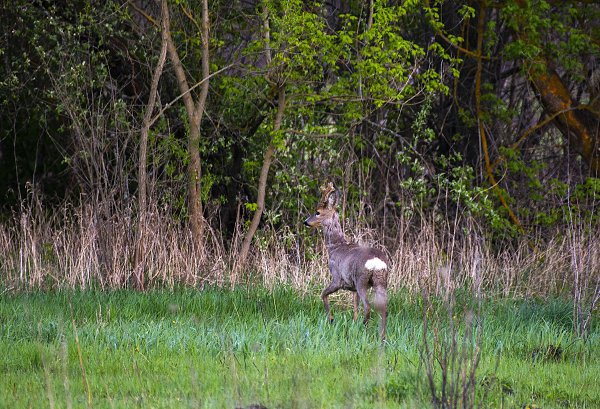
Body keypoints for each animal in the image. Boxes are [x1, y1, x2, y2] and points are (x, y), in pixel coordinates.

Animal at [304, 181, 389, 341]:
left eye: (317, 212)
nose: (305, 222)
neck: (335, 246)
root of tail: (376, 262)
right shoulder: (353, 287)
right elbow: (354, 307)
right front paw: (353, 323)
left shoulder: (337, 278)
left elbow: (323, 294)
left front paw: (331, 319)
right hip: (381, 280)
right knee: (384, 308)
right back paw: (381, 336)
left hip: (362, 280)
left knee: (368, 306)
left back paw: (365, 329)